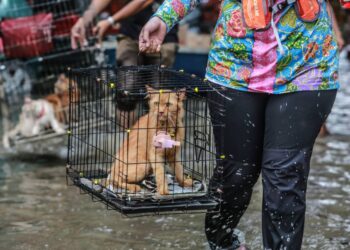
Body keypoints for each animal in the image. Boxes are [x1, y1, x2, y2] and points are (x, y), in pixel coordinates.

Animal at [67, 65, 226, 214]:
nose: (160, 112)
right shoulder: (155, 155)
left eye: (168, 104)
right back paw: (134, 187)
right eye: (156, 104)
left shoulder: (174, 154)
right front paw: (164, 193)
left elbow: (179, 171)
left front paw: (185, 183)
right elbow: (161, 175)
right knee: (114, 181)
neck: (167, 127)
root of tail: (112, 166)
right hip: (143, 164)